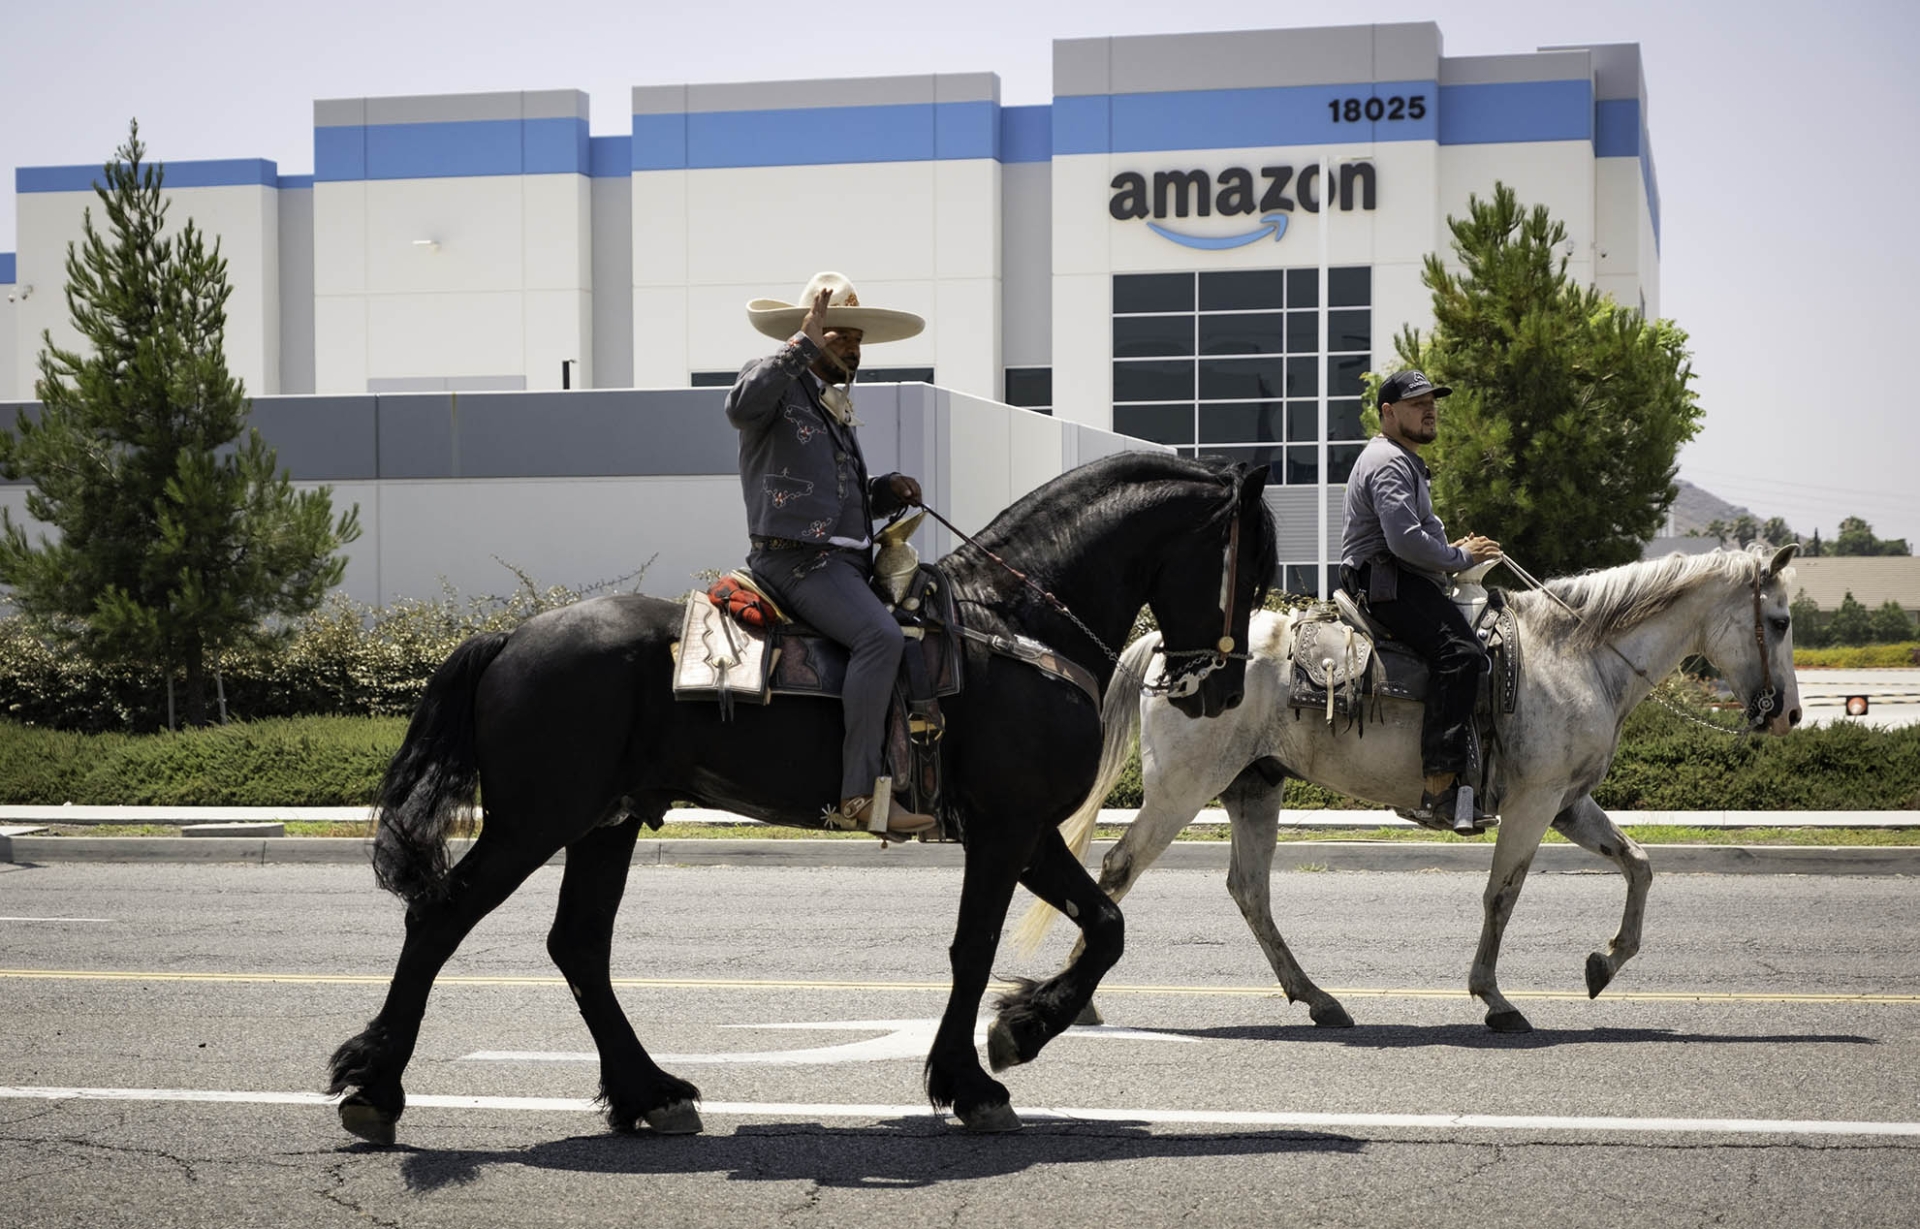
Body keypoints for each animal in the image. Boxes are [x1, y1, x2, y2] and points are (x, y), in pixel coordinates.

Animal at [326, 445, 1274, 1136]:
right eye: (1254, 563)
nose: (1222, 689)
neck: (1012, 623)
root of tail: (512, 635)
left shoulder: (1027, 829)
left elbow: (1105, 926)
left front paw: (1020, 1029)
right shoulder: (1005, 828)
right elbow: (976, 947)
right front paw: (974, 1076)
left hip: (606, 821)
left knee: (579, 945)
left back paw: (648, 1091)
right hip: (537, 819)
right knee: (441, 917)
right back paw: (375, 1085)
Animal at [1021, 541, 1797, 1029]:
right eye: (1781, 620)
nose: (1786, 714)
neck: (1574, 655)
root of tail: (1164, 645)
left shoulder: (1569, 803)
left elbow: (1639, 864)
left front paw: (1605, 962)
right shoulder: (1535, 803)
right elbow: (1502, 894)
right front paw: (1494, 999)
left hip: (1253, 788)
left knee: (1250, 891)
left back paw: (1319, 998)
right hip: (1184, 787)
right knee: (1121, 868)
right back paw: (1080, 999)